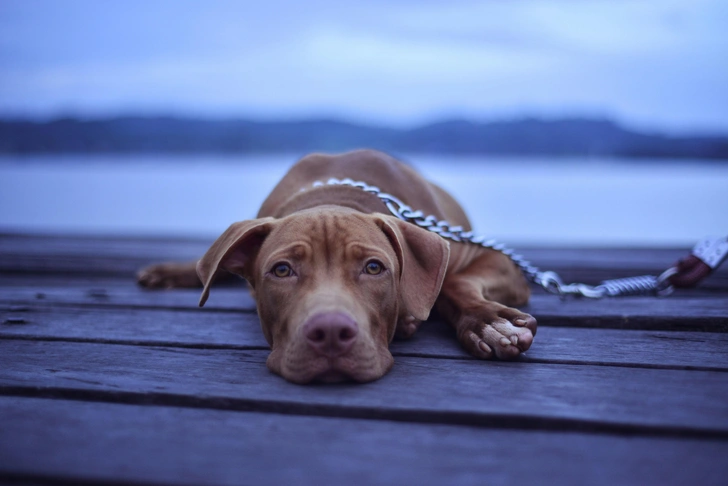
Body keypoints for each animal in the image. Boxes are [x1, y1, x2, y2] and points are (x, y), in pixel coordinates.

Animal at [138, 150, 536, 386]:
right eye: (281, 271)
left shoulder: (492, 260)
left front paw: (488, 323)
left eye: (374, 268)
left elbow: (453, 284)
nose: (330, 332)